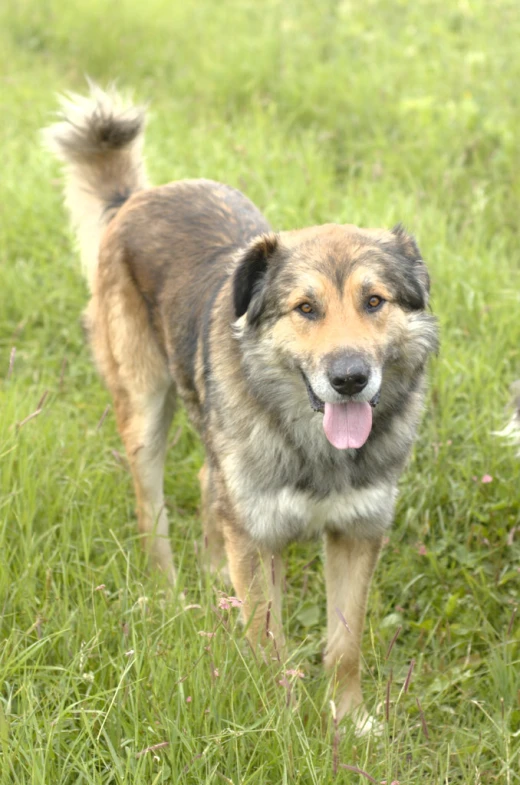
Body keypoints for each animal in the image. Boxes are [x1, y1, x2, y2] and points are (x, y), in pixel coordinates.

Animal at [45, 86, 438, 728]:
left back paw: (212, 582)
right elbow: (269, 643)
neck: (314, 446)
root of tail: (137, 199)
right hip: (143, 409)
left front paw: (349, 722)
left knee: (210, 483)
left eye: (375, 301)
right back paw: (170, 594)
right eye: (306, 308)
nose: (350, 379)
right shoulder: (258, 537)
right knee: (151, 509)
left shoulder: (357, 531)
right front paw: (282, 724)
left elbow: (345, 645)